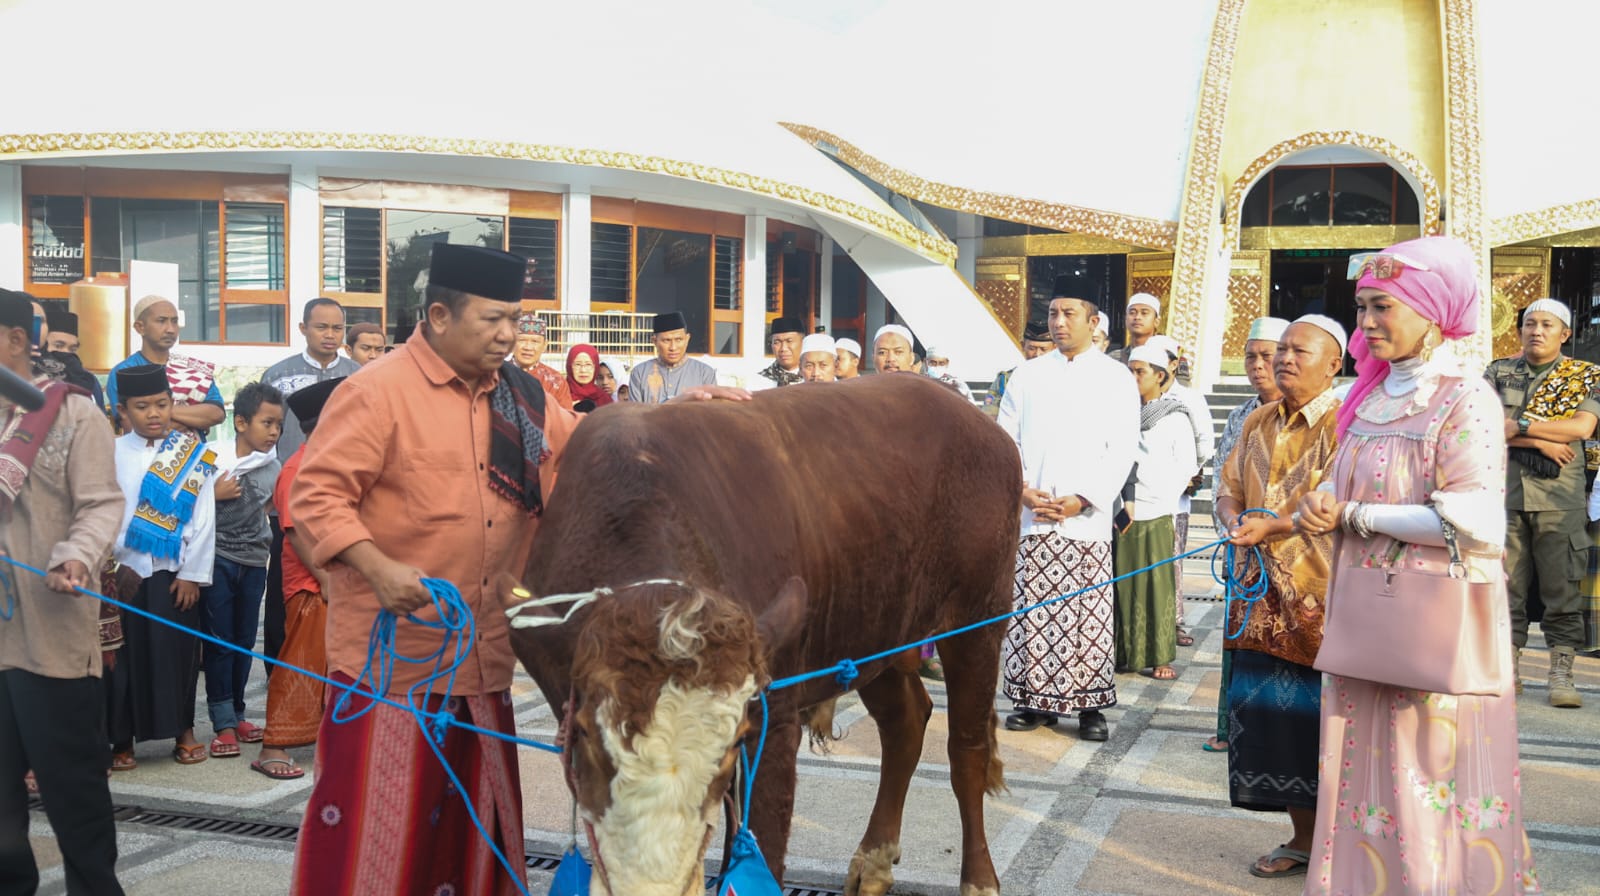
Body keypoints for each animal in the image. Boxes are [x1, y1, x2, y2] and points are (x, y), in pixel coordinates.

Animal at [512, 371, 1017, 896]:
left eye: (733, 743)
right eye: (587, 737)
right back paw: (874, 860)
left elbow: (761, 839)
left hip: (978, 617)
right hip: (876, 627)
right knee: (904, 723)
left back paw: (979, 879)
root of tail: (974, 415)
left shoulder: (773, 717)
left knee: (966, 749)